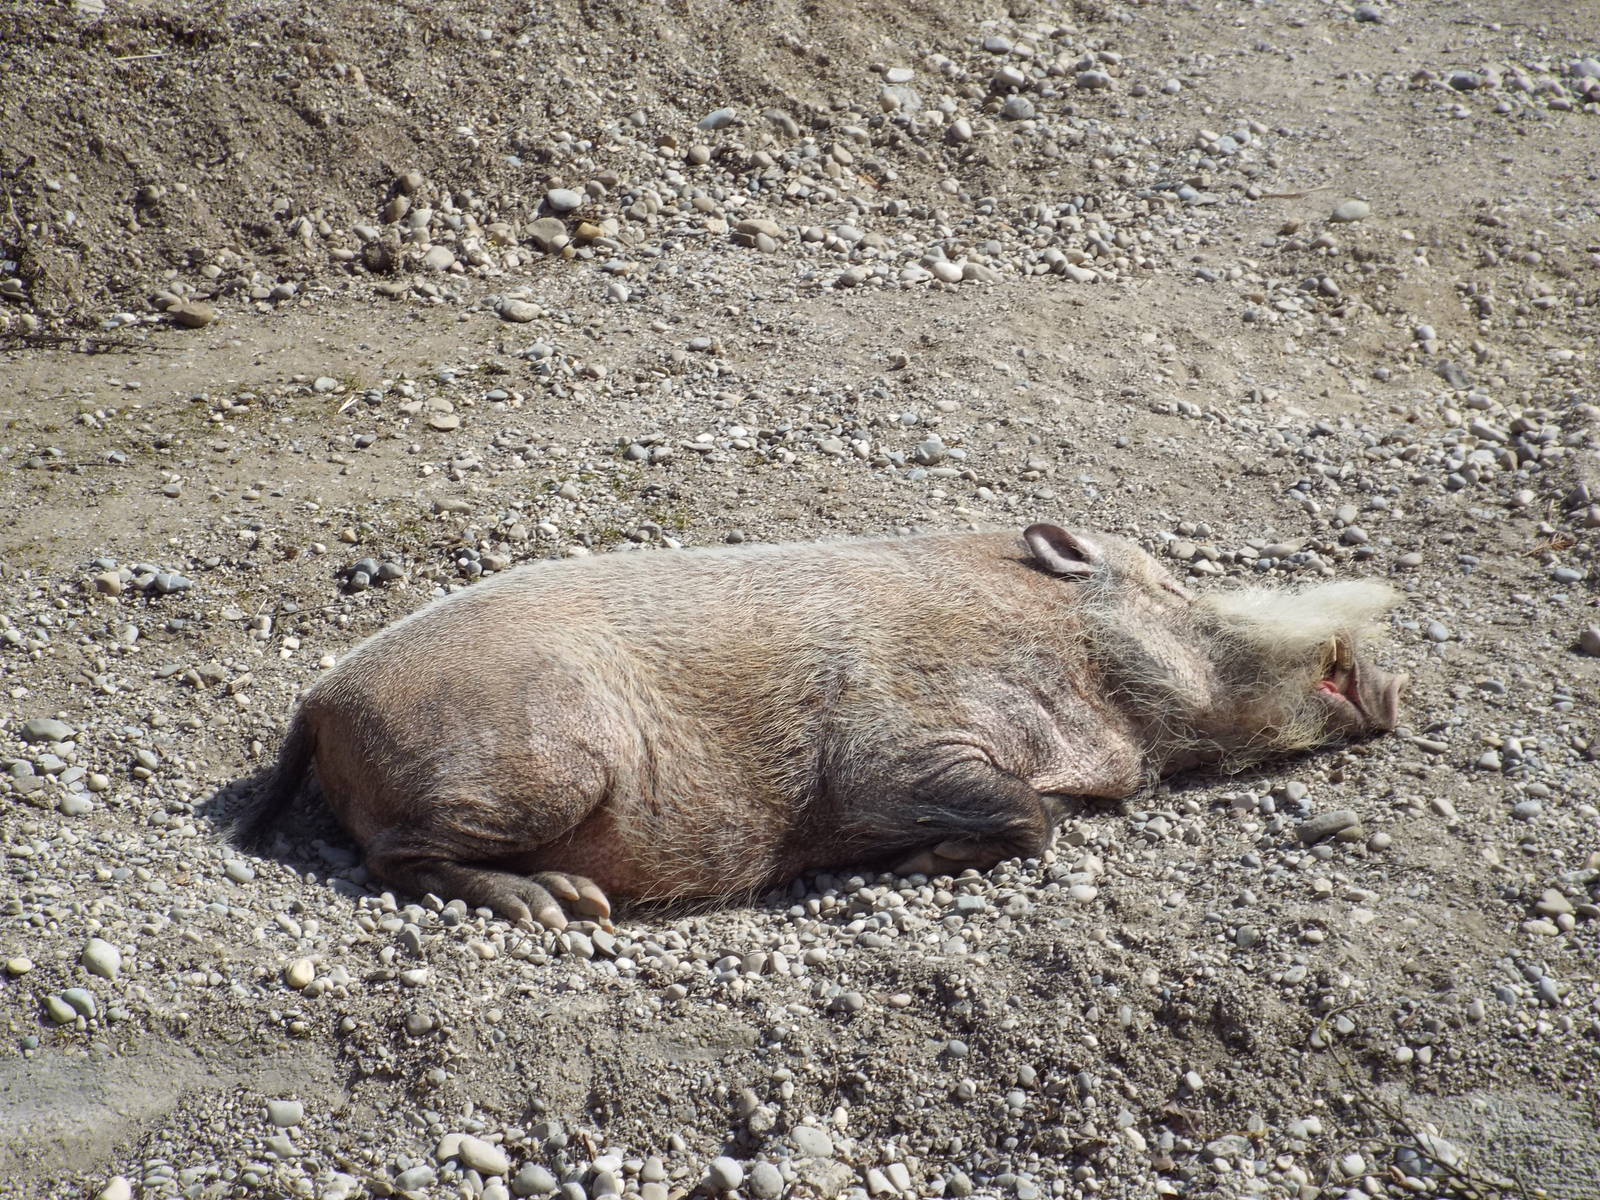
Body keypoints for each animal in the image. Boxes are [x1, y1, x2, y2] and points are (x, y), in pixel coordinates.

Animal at [233, 523, 1407, 929]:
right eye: (1172, 586)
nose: (1382, 677)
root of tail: (319, 701)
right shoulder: (893, 745)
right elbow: (1030, 817)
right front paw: (922, 863)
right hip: (542, 760)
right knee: (391, 856)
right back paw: (565, 907)